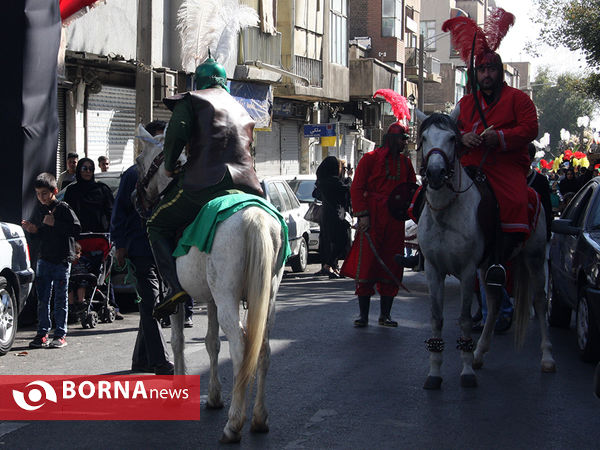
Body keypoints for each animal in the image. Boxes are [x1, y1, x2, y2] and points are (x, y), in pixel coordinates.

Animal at [414, 110, 556, 388]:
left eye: (452, 138)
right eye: (424, 138)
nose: (435, 173)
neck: (445, 213)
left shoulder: (467, 270)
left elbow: (465, 319)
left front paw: (467, 371)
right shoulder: (434, 270)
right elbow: (436, 318)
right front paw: (435, 372)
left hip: (534, 259)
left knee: (539, 300)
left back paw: (547, 357)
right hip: (488, 266)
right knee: (494, 301)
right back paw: (479, 353)